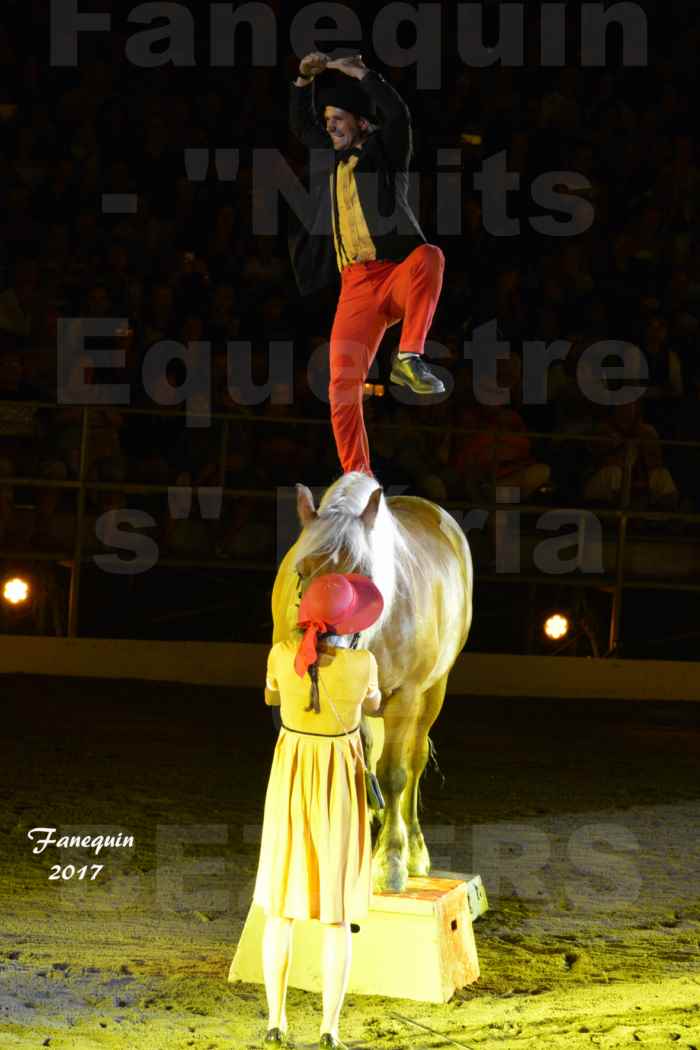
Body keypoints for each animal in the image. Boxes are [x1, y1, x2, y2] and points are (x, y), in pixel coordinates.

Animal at [270, 472, 474, 890]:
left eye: (362, 573)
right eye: (303, 572)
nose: (323, 648)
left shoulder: (405, 697)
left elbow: (394, 773)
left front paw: (391, 861)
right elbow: (359, 770)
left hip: (433, 692)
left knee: (414, 760)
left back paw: (414, 852)